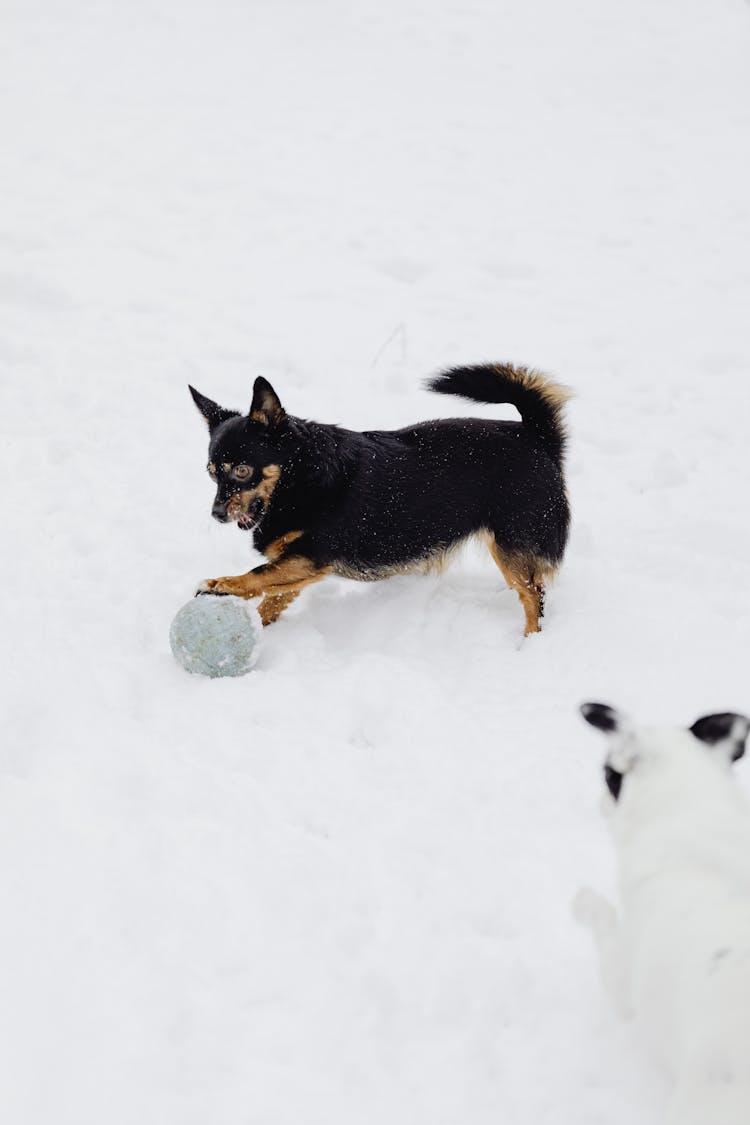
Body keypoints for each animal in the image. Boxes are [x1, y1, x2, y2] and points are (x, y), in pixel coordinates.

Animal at [191, 364, 571, 639]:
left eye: (242, 471)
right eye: (211, 473)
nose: (216, 514)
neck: (300, 479)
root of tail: (536, 436)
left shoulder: (310, 556)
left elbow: (258, 574)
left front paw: (221, 586)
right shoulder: (300, 567)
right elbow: (273, 595)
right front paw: (257, 627)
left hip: (511, 547)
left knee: (533, 596)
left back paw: (529, 643)